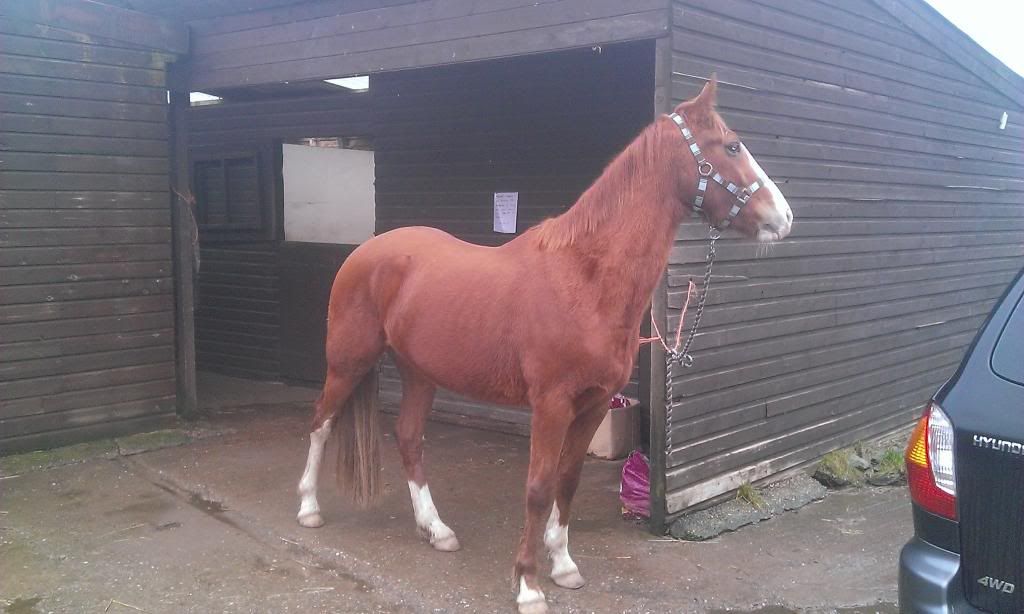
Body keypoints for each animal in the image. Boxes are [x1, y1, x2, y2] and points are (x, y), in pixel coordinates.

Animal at [295, 77, 792, 614]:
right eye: (732, 146)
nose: (784, 218)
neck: (585, 277)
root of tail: (366, 251)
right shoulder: (551, 405)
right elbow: (537, 487)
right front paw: (529, 585)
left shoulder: (593, 404)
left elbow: (567, 481)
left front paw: (564, 565)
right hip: (349, 361)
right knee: (321, 423)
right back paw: (309, 508)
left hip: (418, 372)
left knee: (408, 438)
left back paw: (436, 529)